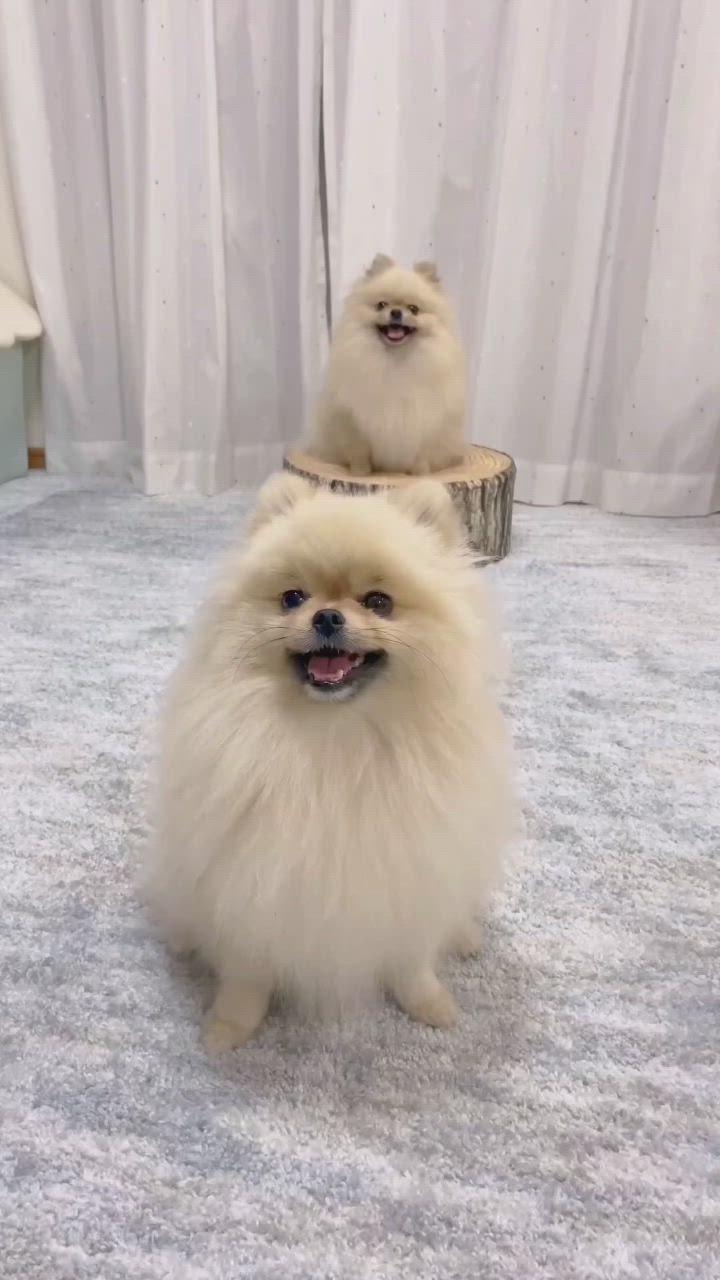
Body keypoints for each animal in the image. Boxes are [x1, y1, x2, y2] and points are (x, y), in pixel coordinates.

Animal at [142, 473, 512, 1049]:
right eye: (292, 597)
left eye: (379, 602)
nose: (327, 615)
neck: (334, 740)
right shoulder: (250, 886)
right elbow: (247, 976)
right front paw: (229, 1029)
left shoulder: (410, 877)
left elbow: (411, 963)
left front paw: (429, 1004)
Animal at [311, 254, 468, 476]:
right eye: (381, 305)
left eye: (413, 309)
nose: (395, 312)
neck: (395, 359)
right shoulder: (352, 419)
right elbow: (359, 451)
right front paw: (360, 472)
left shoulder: (426, 422)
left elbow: (422, 454)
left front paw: (420, 473)